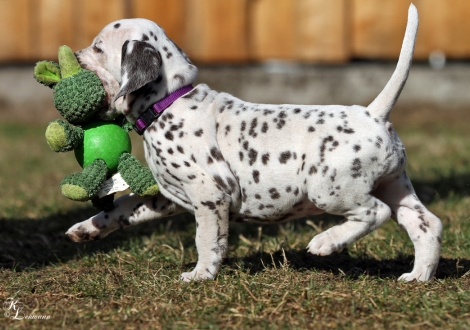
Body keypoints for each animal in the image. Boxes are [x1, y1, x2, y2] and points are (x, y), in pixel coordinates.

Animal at [66, 3, 444, 282]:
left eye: (98, 48)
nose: (73, 53)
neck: (168, 103)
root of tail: (373, 113)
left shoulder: (209, 194)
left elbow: (207, 239)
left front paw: (201, 275)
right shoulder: (166, 194)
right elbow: (121, 208)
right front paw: (86, 229)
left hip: (330, 188)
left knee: (374, 212)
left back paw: (326, 243)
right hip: (394, 186)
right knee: (426, 224)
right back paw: (418, 277)